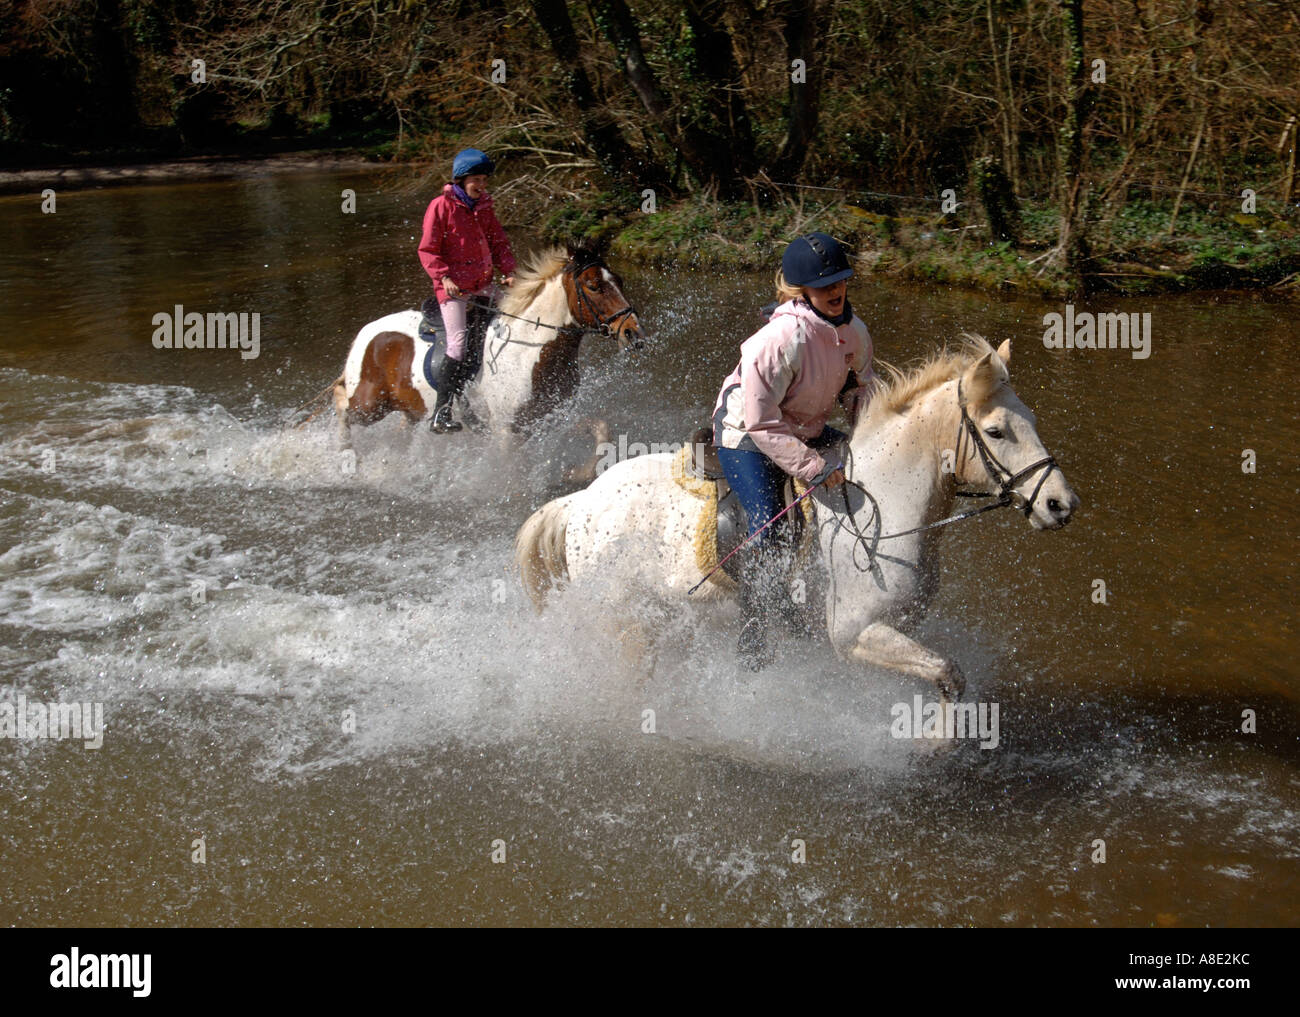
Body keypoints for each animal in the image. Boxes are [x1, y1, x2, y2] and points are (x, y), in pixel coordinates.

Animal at [330, 244, 644, 452]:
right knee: (342, 403)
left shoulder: (550, 418)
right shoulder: (506, 432)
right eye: (594, 286)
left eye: (619, 281)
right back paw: (347, 453)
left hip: (405, 408)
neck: (528, 354)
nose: (633, 332)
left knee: (401, 424)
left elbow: (601, 429)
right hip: (370, 405)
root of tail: (366, 332)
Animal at [512, 338, 1081, 707]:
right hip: (630, 622)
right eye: (997, 430)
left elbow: (945, 680)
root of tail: (579, 502)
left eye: (1031, 419)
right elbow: (948, 671)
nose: (1061, 504)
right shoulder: (852, 635)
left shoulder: (897, 629)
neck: (882, 505)